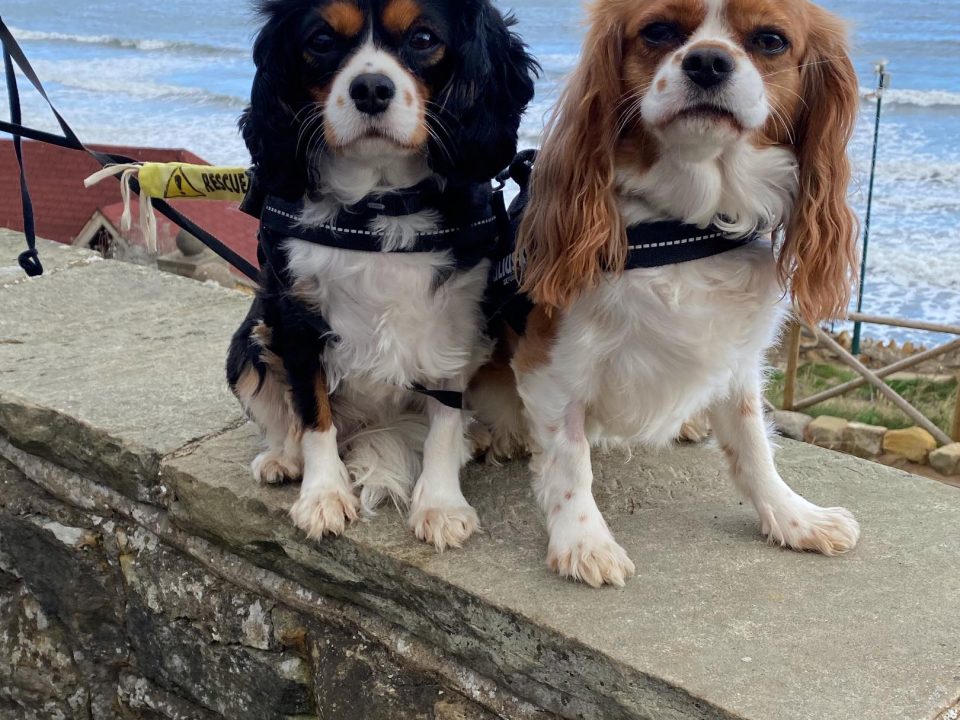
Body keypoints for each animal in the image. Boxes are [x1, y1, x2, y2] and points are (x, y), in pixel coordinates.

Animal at [228, 0, 536, 548]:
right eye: (321, 41)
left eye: (423, 38)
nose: (370, 88)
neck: (379, 205)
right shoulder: (294, 314)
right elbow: (312, 411)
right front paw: (323, 494)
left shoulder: (457, 321)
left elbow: (444, 419)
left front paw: (440, 503)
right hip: (248, 343)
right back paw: (283, 457)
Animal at [488, 0, 864, 584]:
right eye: (658, 32)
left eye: (771, 41)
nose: (707, 62)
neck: (684, 226)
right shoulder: (551, 361)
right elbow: (570, 457)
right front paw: (583, 540)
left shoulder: (737, 359)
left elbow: (754, 445)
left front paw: (793, 516)